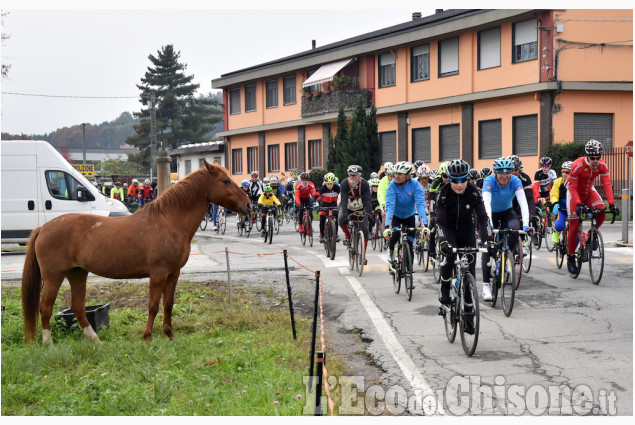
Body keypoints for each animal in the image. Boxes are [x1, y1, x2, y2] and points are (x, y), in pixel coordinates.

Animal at [22, 161, 251, 342]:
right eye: (226, 181)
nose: (248, 205)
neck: (169, 220)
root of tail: (44, 228)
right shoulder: (158, 274)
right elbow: (153, 306)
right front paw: (147, 336)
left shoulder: (173, 273)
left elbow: (168, 304)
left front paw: (169, 334)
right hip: (53, 276)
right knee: (45, 308)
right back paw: (49, 345)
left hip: (77, 273)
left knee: (78, 308)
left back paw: (97, 342)